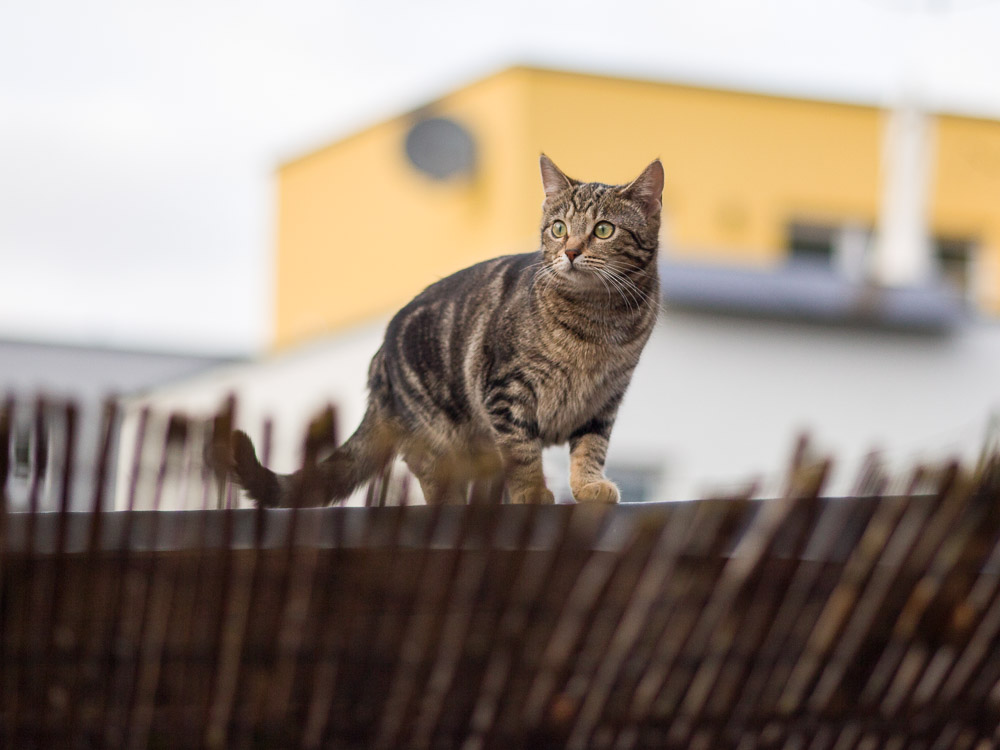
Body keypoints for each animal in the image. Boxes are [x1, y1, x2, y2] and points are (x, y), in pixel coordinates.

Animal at [233, 156, 664, 508]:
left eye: (604, 230)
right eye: (558, 229)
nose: (571, 251)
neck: (598, 318)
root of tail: (380, 362)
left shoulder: (605, 397)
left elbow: (591, 447)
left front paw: (588, 484)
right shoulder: (506, 390)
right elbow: (522, 453)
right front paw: (531, 492)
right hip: (438, 430)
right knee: (430, 470)